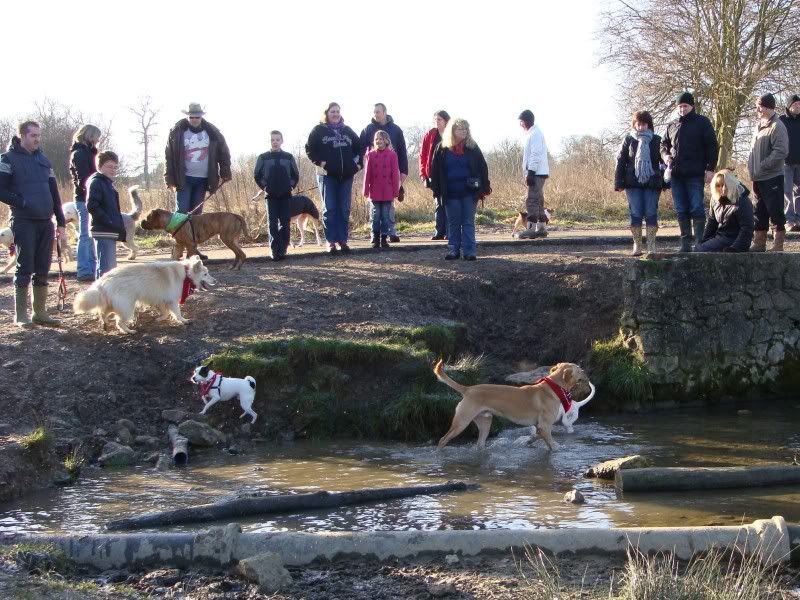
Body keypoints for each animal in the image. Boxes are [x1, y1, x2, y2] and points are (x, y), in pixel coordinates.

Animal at [72, 253, 214, 336]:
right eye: (206, 274)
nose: (215, 281)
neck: (186, 273)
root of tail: (103, 280)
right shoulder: (172, 301)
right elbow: (177, 313)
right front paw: (183, 321)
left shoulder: (161, 300)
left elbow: (165, 312)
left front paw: (160, 319)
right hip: (127, 307)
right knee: (119, 322)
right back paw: (128, 331)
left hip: (112, 304)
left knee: (103, 313)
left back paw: (105, 324)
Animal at [432, 360, 592, 450]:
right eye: (579, 369)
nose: (586, 371)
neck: (554, 387)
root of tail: (468, 389)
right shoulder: (545, 426)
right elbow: (552, 446)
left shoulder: (540, 427)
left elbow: (536, 437)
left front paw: (528, 441)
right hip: (461, 422)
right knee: (442, 440)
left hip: (485, 422)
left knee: (480, 444)